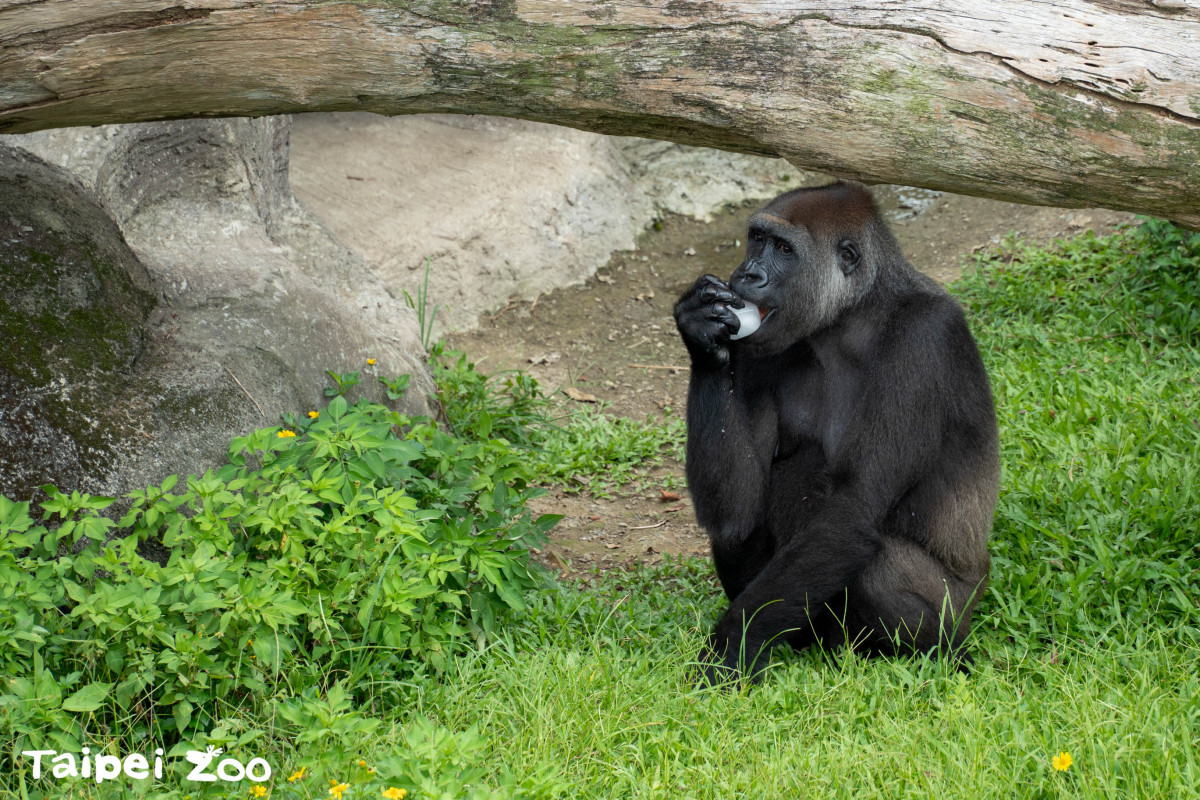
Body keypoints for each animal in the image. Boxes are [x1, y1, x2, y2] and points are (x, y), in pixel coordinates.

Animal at [676, 181, 1003, 681]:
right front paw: (701, 332)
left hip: (958, 609)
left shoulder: (924, 337)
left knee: (879, 569)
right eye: (756, 239)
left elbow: (851, 510)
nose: (747, 274)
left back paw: (944, 657)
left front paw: (729, 648)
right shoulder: (760, 348)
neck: (852, 316)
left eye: (784, 249)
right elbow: (735, 512)